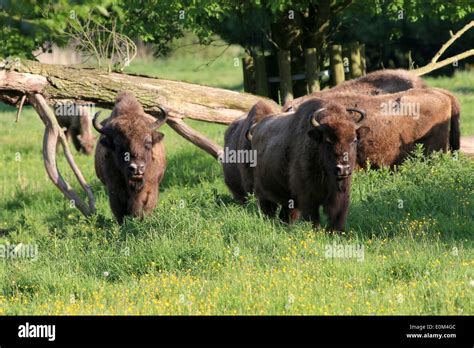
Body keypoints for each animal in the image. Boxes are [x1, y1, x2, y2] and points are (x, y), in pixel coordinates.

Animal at [92, 91, 167, 224]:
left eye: (148, 143)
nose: (137, 168)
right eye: (118, 145)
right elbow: (120, 211)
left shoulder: (150, 188)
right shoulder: (114, 190)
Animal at [252, 98, 366, 231]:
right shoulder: (308, 196)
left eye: (354, 140)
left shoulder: (341, 195)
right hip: (263, 193)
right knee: (268, 210)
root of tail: (257, 129)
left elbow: (337, 215)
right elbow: (312, 217)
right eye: (328, 140)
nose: (343, 169)